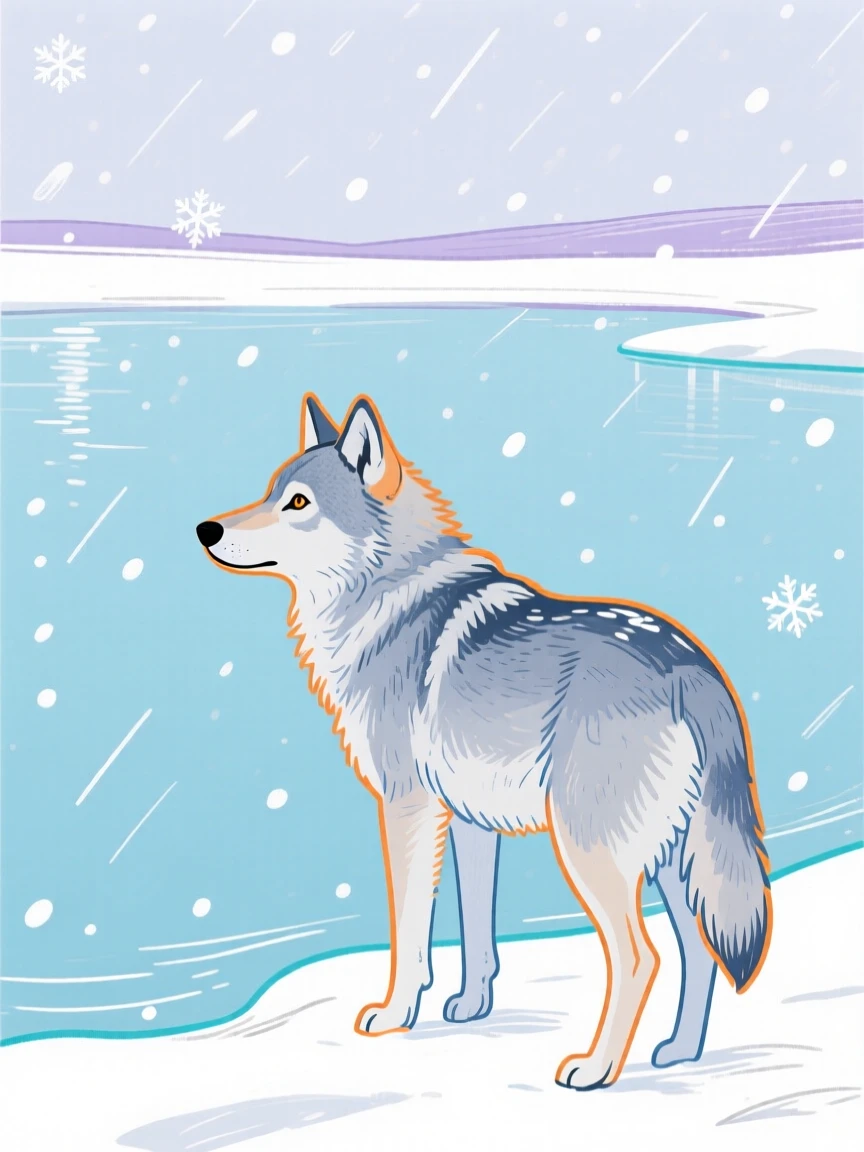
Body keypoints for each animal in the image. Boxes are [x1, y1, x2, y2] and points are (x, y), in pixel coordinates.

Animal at [196, 393, 772, 1090]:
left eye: (299, 502)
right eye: (269, 491)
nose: (204, 530)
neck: (385, 593)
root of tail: (691, 666)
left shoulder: (408, 805)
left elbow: (411, 930)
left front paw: (395, 1015)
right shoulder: (469, 819)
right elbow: (475, 930)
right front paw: (471, 1008)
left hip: (592, 851)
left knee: (641, 957)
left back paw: (597, 1070)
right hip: (669, 859)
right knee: (699, 948)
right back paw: (680, 1052)